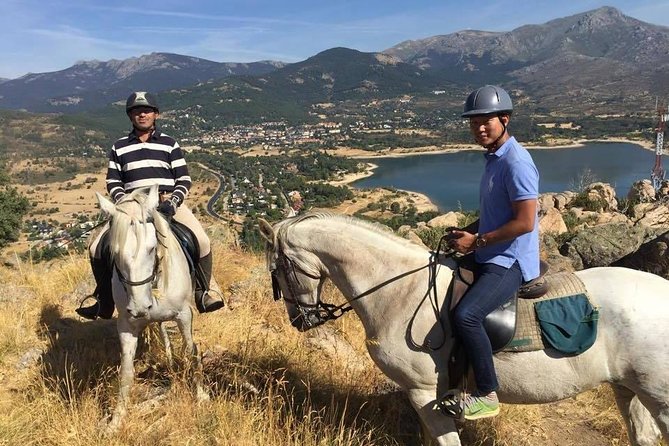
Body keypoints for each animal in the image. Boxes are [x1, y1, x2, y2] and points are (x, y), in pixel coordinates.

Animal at [98, 186, 207, 432]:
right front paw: (116, 421)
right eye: (114, 253)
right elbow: (126, 372)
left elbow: (191, 350)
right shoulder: (126, 325)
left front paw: (201, 395)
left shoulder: (184, 315)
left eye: (151, 248)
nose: (140, 307)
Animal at [260, 213, 668, 446]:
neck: (401, 291)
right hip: (627, 389)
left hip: (658, 396)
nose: (302, 321)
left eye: (277, 270)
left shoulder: (424, 392)